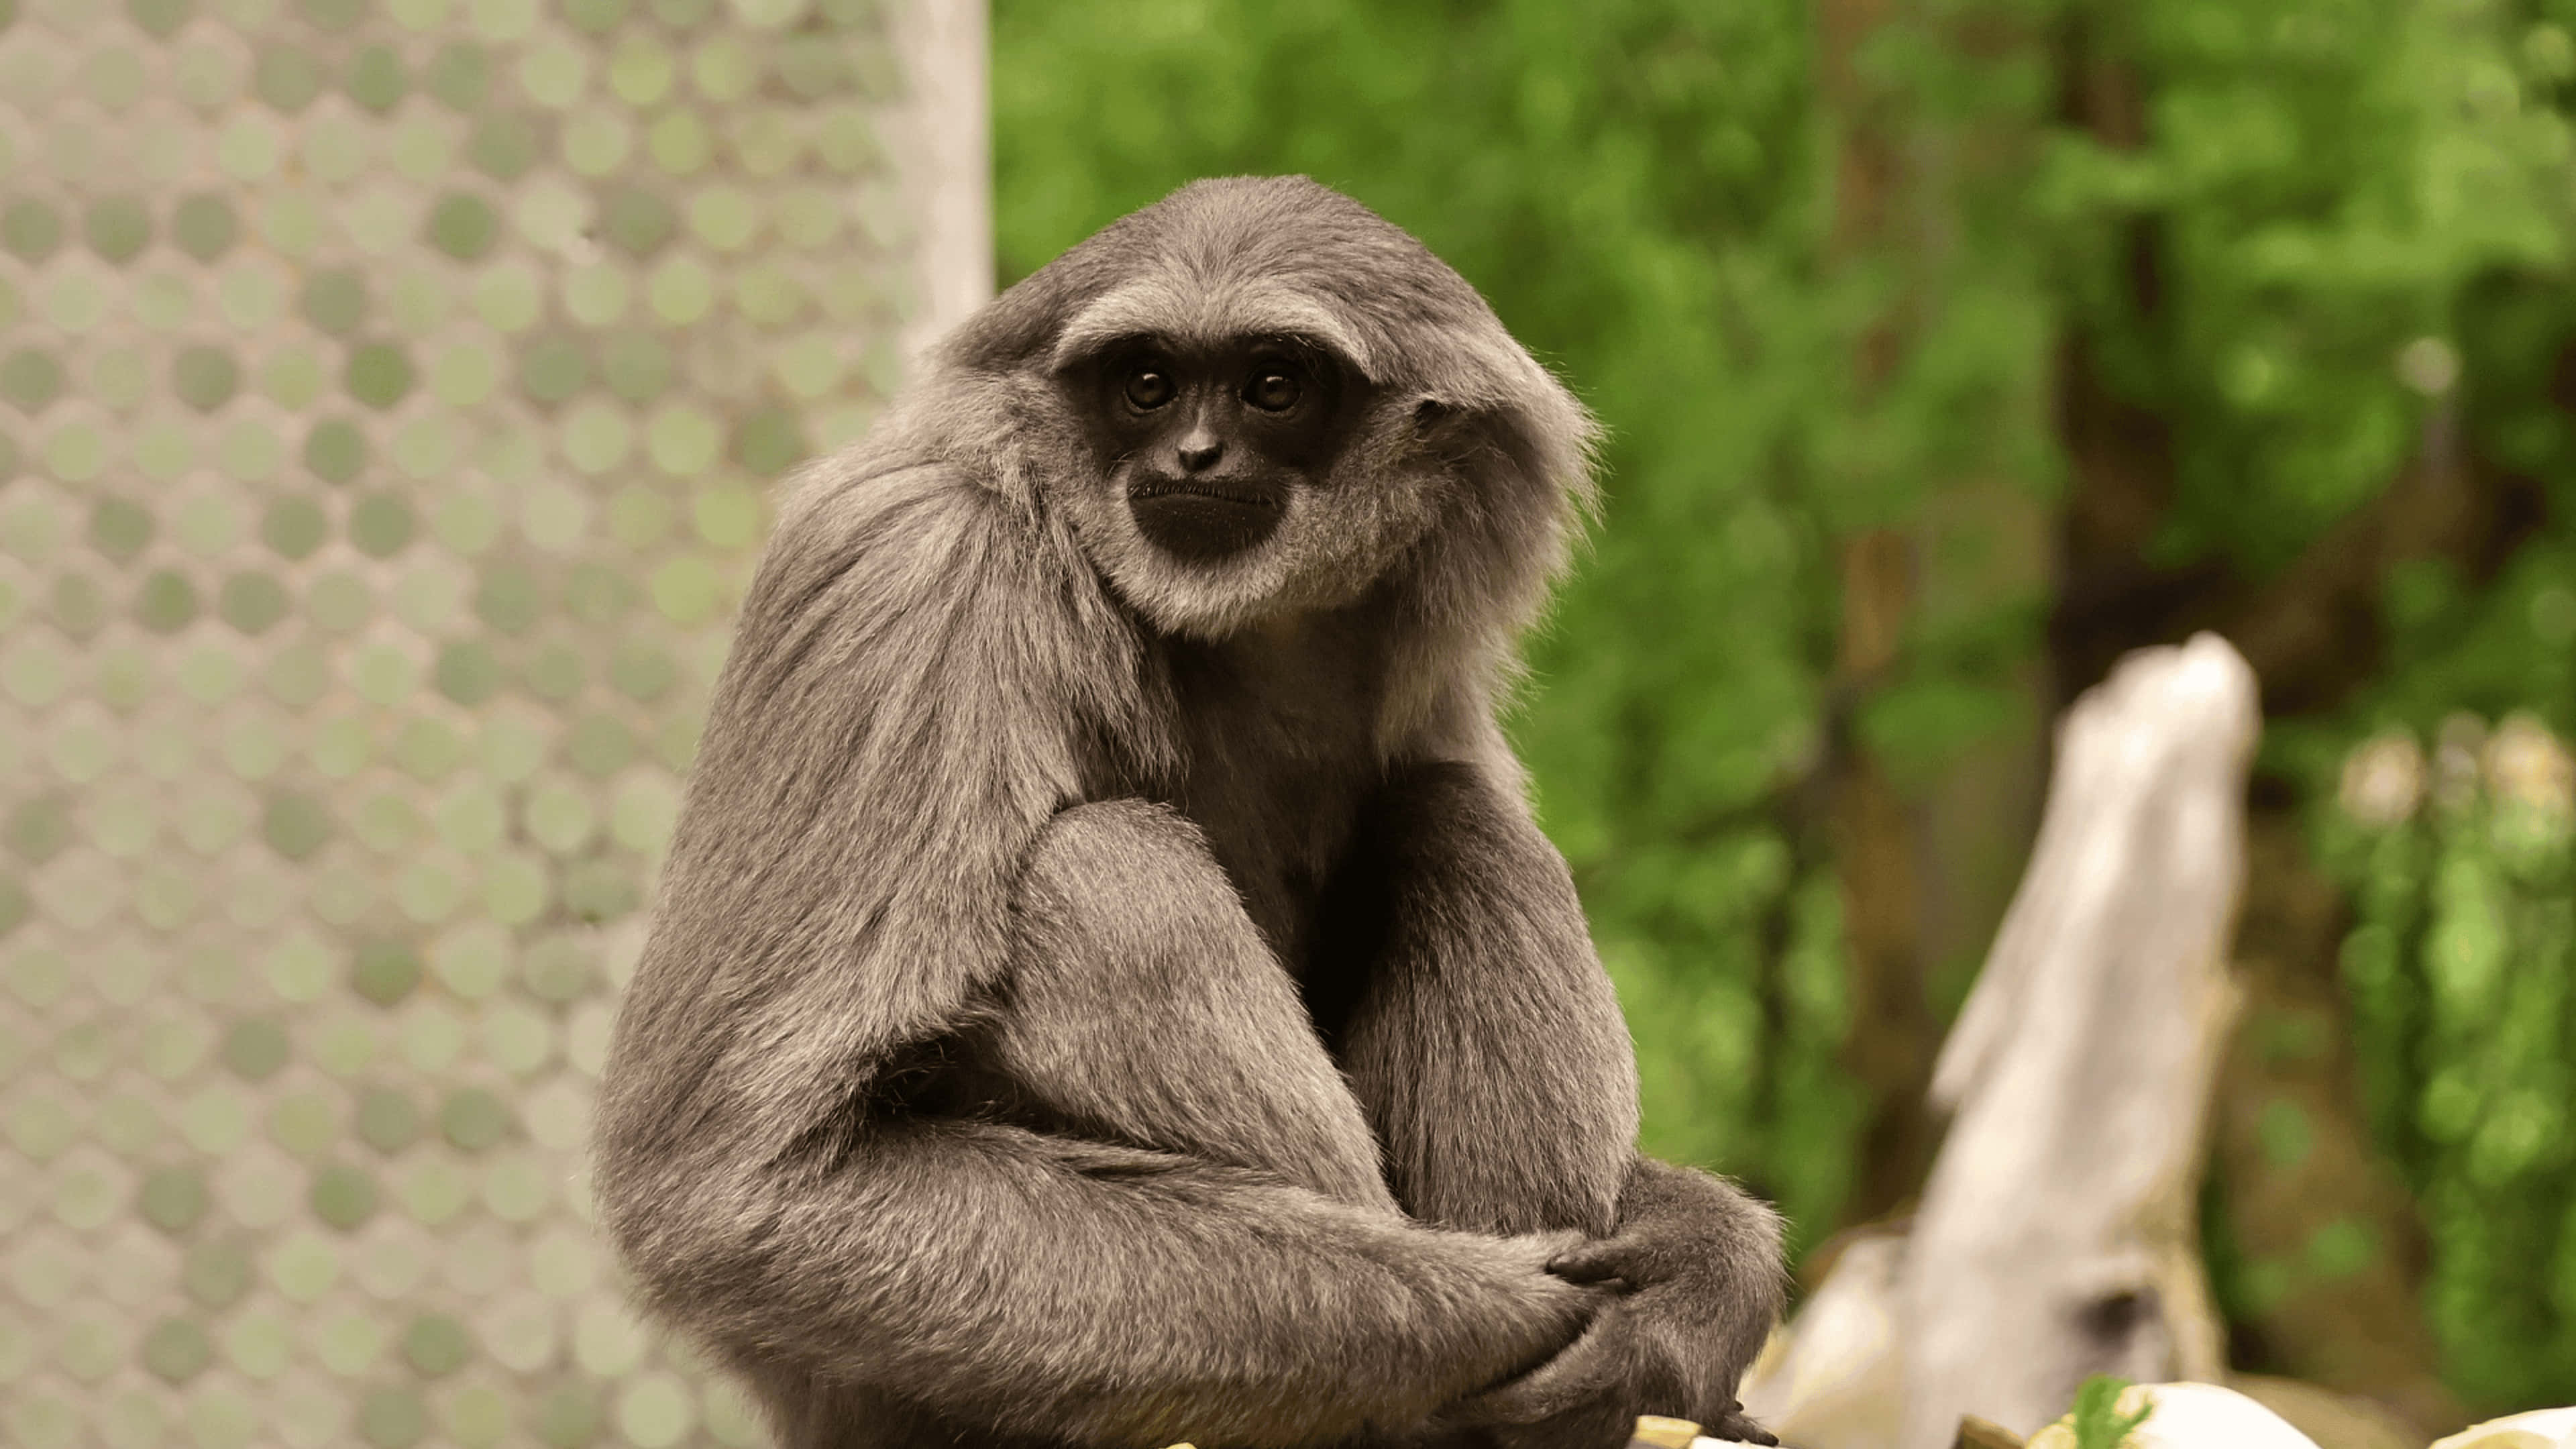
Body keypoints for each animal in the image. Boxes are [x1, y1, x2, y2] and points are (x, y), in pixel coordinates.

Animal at [591, 175, 1786, 1449]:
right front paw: (1558, 1314)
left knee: (1455, 818)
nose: (1195, 452)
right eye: (1149, 383)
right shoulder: (909, 568)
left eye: (1274, 385)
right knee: (1102, 864)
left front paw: (1695, 1276)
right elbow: (737, 1186)